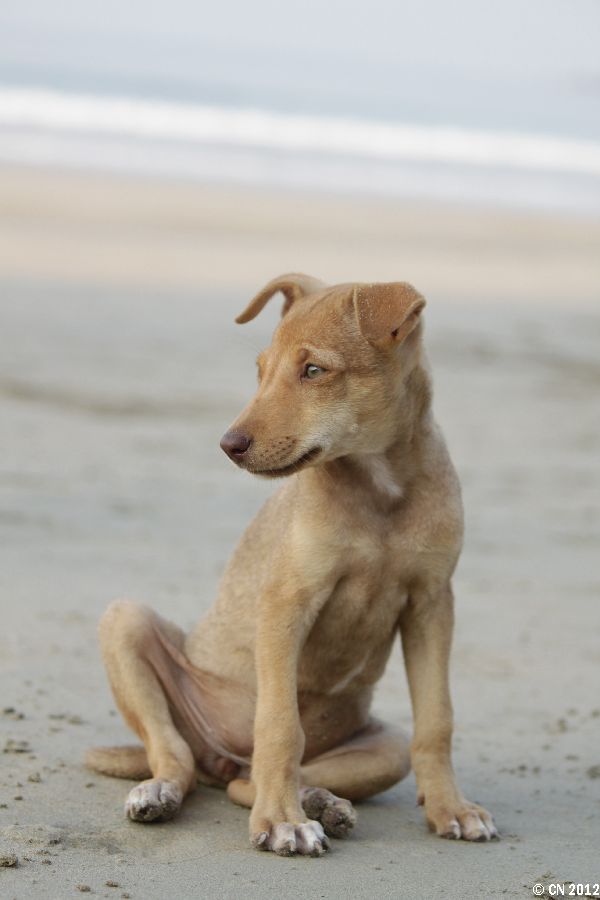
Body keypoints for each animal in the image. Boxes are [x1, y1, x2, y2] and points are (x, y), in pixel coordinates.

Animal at [86, 274, 497, 856]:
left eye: (314, 371)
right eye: (261, 370)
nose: (228, 445)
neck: (381, 488)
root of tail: (220, 760)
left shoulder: (432, 604)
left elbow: (437, 719)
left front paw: (452, 810)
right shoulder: (287, 601)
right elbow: (281, 724)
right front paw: (281, 822)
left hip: (384, 746)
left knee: (251, 782)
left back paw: (323, 803)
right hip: (125, 621)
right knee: (182, 757)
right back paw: (164, 793)